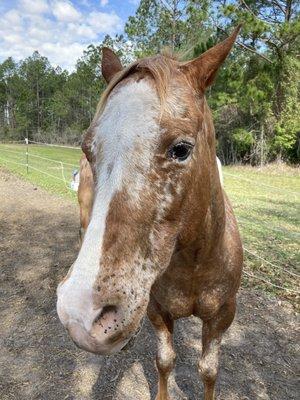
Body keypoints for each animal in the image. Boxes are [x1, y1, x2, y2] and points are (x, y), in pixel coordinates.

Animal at [56, 26, 244, 398]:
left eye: (181, 149)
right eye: (89, 148)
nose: (81, 313)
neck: (194, 262)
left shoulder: (221, 317)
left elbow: (209, 370)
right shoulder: (157, 311)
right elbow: (165, 360)